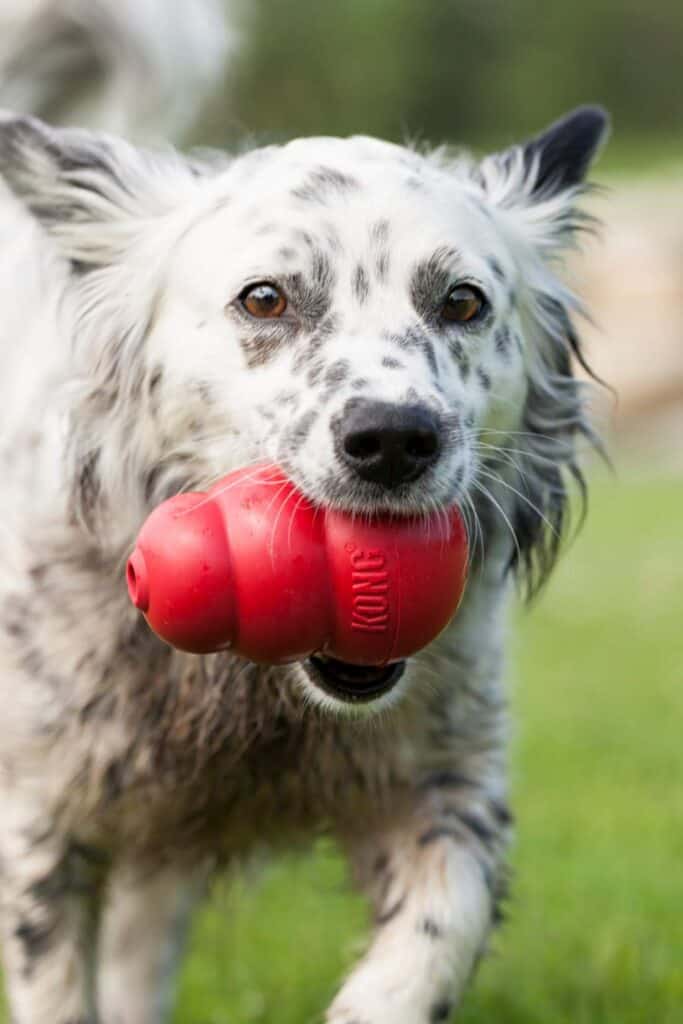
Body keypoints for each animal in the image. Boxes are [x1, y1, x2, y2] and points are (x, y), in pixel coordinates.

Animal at [0, 105, 610, 1024]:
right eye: (265, 298)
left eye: (462, 301)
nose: (392, 438)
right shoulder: (43, 822)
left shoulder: (443, 790)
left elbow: (435, 936)